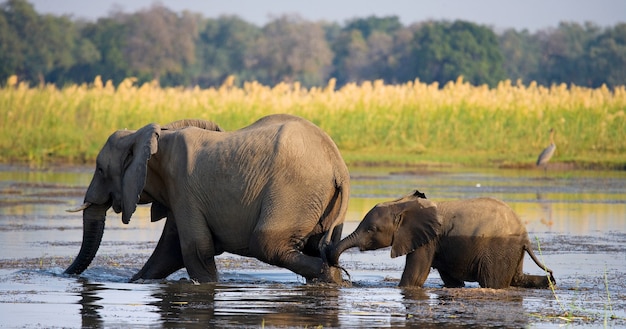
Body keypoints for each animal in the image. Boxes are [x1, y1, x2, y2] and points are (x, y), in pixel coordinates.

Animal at [65, 113, 348, 282]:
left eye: (100, 170)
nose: (66, 275)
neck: (148, 137)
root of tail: (338, 165)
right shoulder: (178, 193)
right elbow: (169, 251)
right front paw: (136, 281)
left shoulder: (183, 187)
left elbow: (195, 249)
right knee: (319, 247)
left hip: (293, 192)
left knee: (266, 244)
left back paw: (328, 275)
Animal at [330, 190, 552, 288]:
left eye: (372, 229)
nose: (346, 277)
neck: (402, 205)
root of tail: (525, 237)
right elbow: (451, 280)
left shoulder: (427, 241)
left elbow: (414, 277)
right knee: (518, 279)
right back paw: (550, 282)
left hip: (499, 249)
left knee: (493, 282)